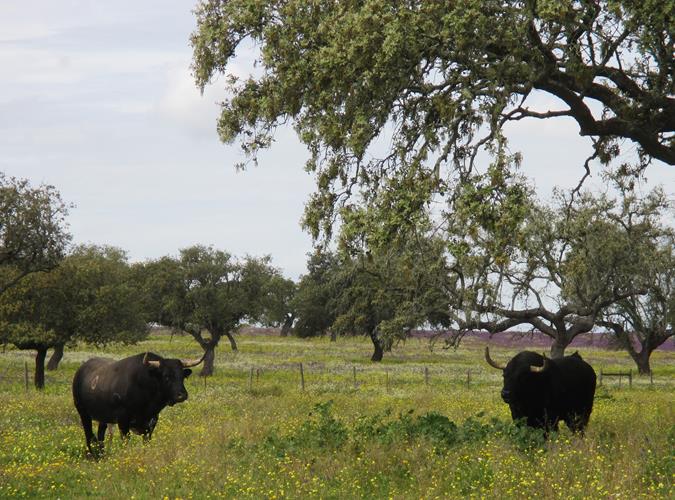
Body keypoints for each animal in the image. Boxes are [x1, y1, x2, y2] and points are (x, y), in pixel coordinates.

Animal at [72, 352, 203, 454]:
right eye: (166, 376)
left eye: (182, 376)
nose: (182, 395)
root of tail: (80, 370)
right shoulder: (123, 422)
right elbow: (125, 442)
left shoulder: (151, 423)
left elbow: (146, 442)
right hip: (83, 414)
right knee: (89, 435)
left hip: (103, 418)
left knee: (100, 435)